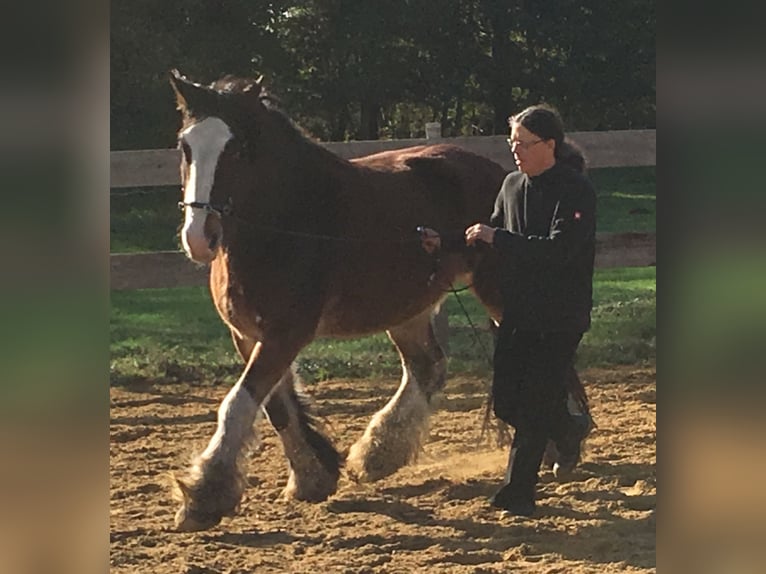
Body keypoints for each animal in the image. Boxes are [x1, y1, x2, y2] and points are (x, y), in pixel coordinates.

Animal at [167, 70, 510, 532]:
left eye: (236, 148)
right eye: (185, 146)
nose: (199, 237)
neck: (288, 220)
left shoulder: (285, 333)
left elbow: (237, 405)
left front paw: (204, 495)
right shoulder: (248, 334)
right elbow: (277, 407)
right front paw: (312, 478)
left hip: (497, 292)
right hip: (407, 310)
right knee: (427, 369)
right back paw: (377, 456)